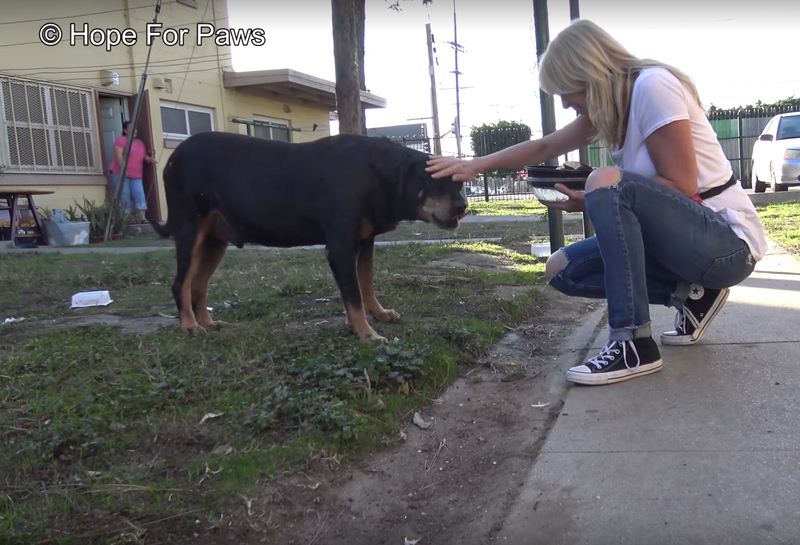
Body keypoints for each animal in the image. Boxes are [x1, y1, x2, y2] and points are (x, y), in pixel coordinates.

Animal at [151, 132, 466, 340]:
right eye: (434, 181)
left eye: (460, 183)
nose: (463, 206)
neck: (375, 175)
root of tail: (172, 158)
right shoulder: (340, 248)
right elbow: (353, 295)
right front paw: (366, 333)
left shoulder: (364, 242)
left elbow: (365, 285)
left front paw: (378, 315)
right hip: (190, 229)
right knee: (181, 283)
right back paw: (189, 325)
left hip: (215, 240)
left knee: (198, 284)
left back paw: (208, 322)